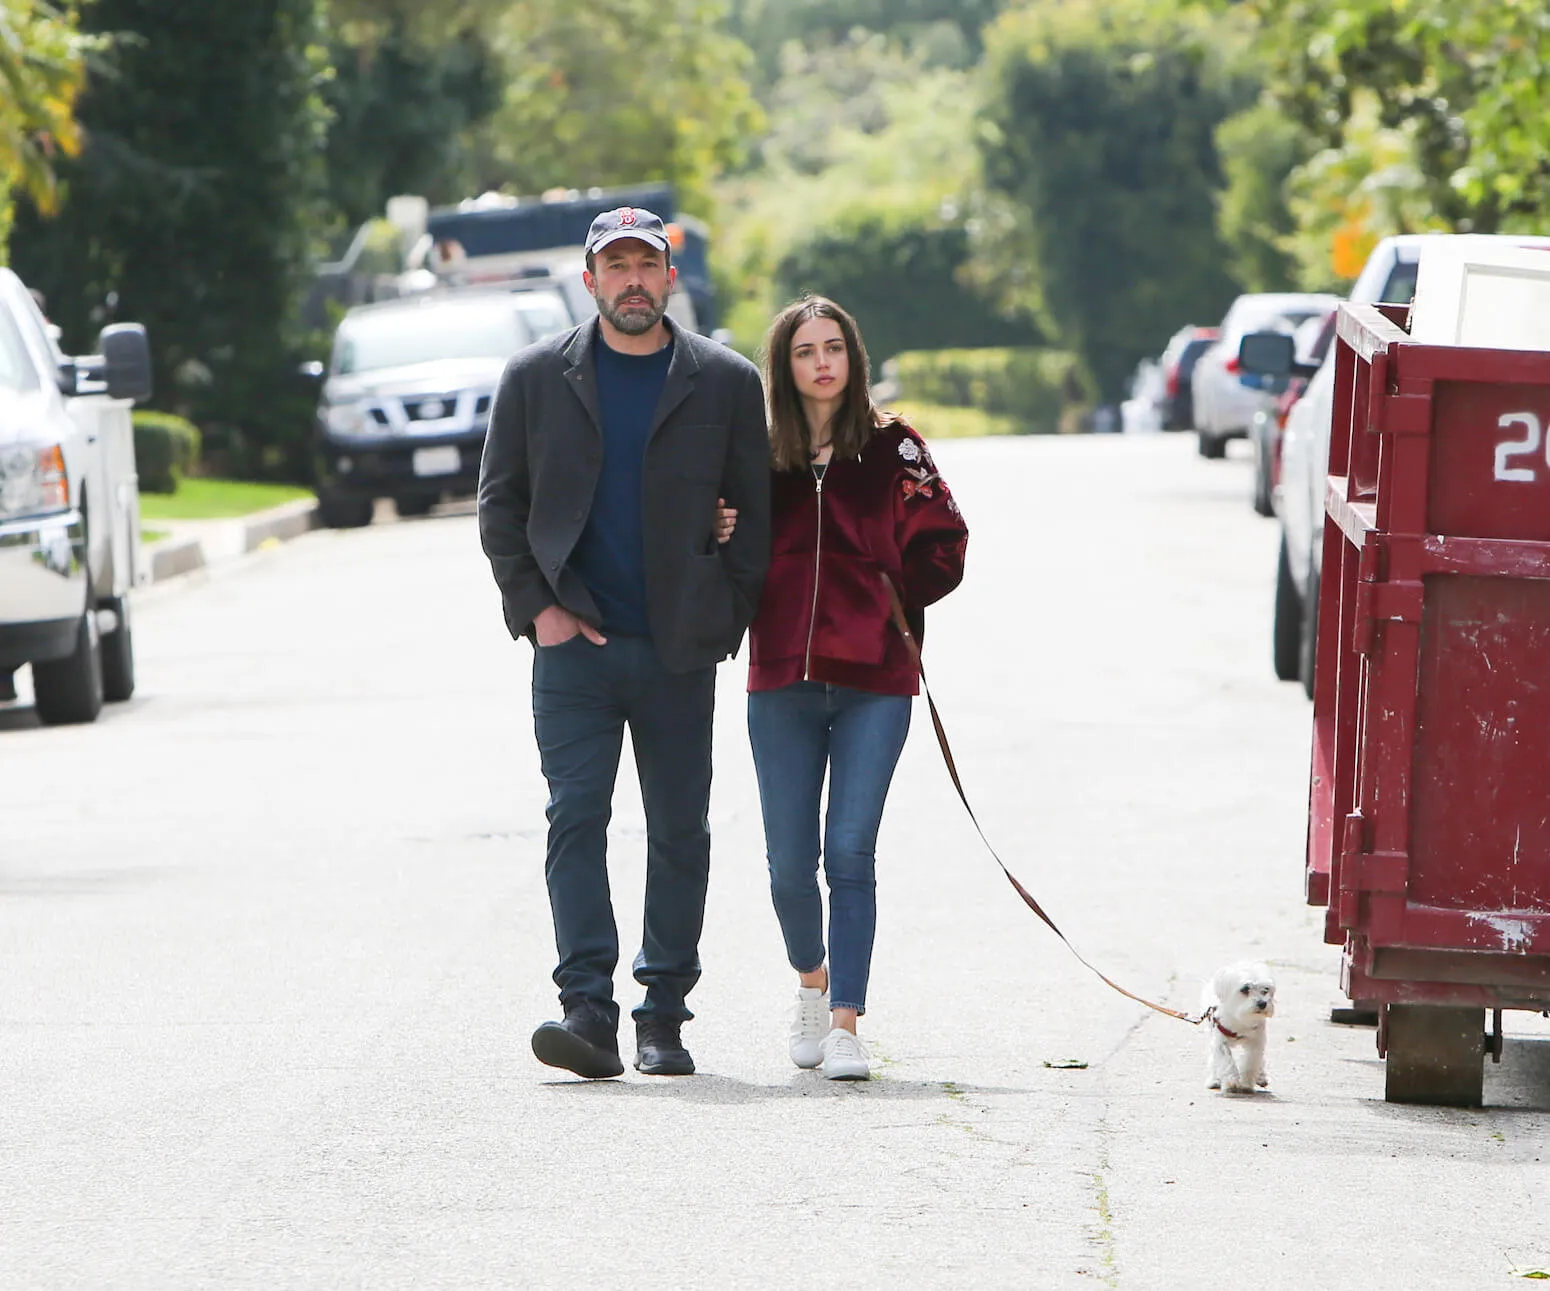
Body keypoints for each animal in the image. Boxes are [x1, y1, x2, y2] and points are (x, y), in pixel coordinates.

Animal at [1202, 960, 1277, 1091]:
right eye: (1245, 989)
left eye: (1266, 989)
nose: (1262, 1003)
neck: (1240, 1018)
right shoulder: (1220, 1039)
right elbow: (1225, 1059)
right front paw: (1231, 1079)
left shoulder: (1256, 1040)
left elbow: (1251, 1060)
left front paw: (1247, 1081)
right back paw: (1214, 1080)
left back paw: (1261, 1076)